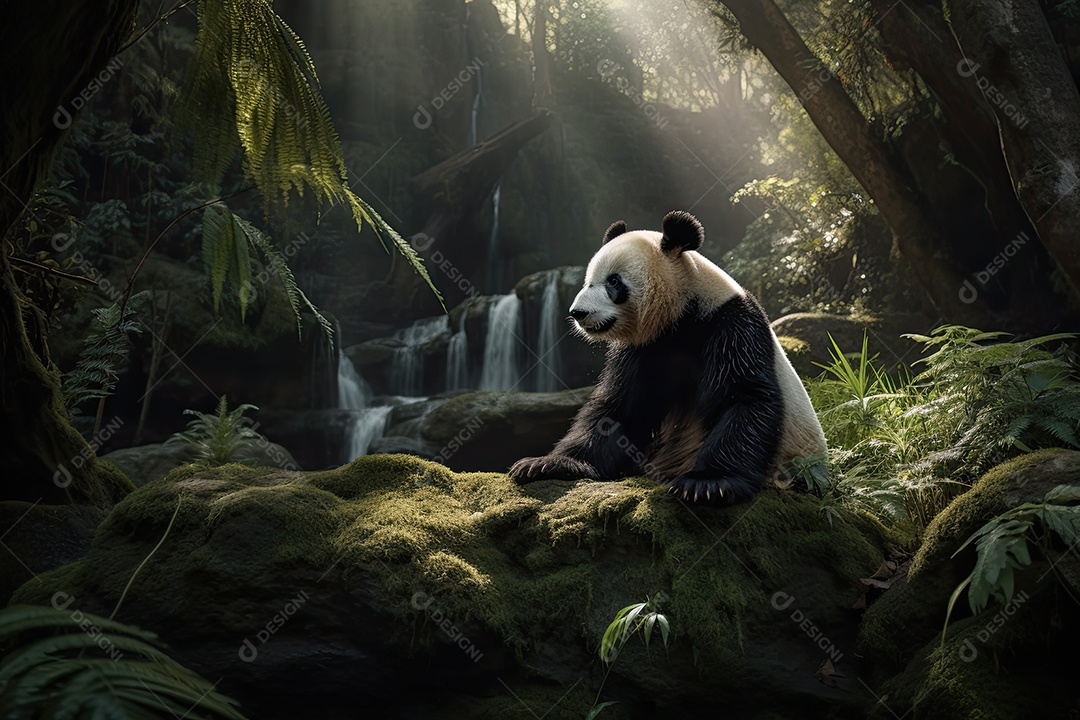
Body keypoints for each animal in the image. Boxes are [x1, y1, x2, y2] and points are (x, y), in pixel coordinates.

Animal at [509, 211, 827, 504]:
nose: (578, 313)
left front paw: (707, 484)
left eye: (614, 282)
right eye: (588, 282)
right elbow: (620, 408)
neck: (683, 313)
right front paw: (546, 464)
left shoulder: (730, 324)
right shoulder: (647, 348)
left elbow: (744, 396)